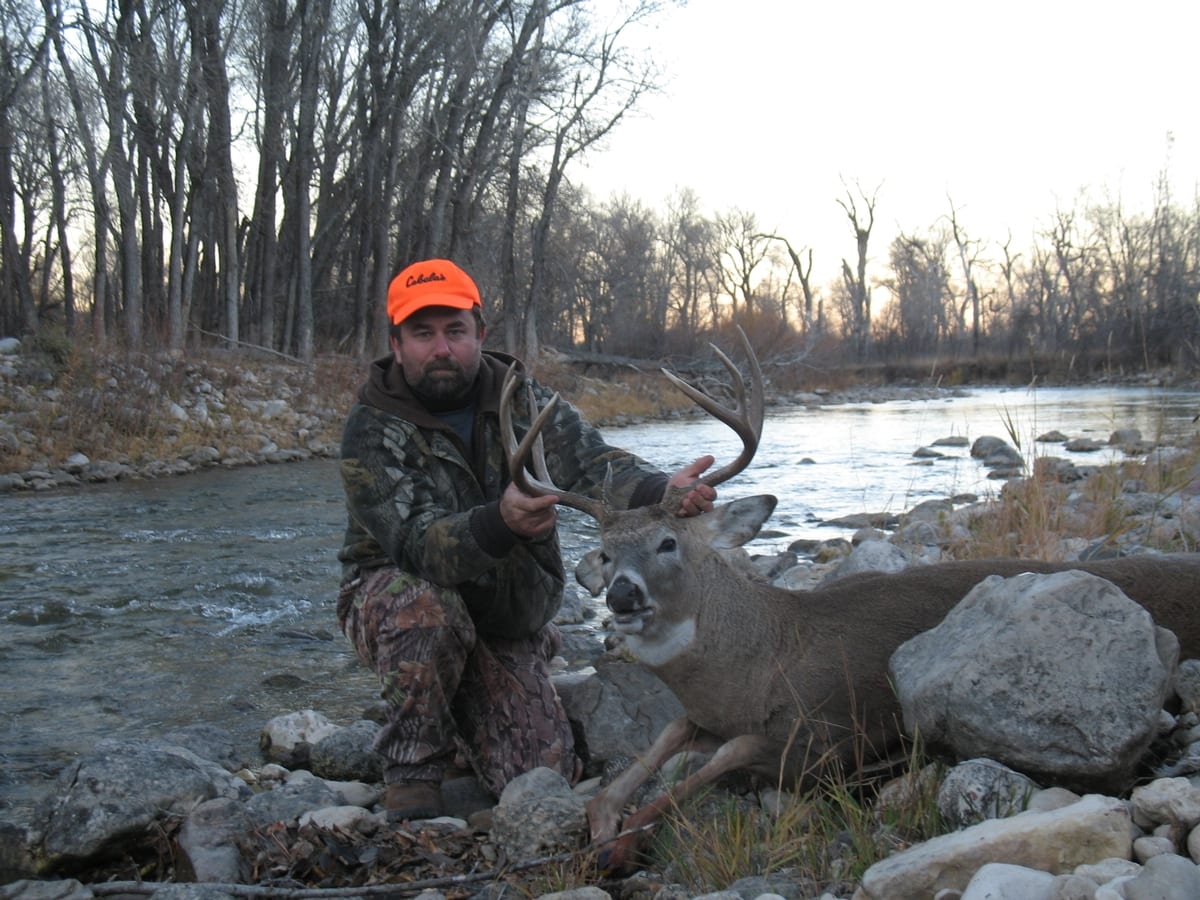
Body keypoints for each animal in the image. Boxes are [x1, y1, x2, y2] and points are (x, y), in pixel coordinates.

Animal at [499, 330, 1200, 871]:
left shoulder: (823, 735)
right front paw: (603, 828)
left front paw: (620, 844)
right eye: (605, 552)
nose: (621, 593)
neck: (757, 662)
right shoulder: (707, 713)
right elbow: (649, 752)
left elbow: (724, 756)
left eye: (668, 542)